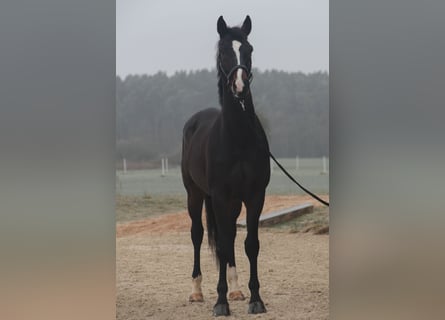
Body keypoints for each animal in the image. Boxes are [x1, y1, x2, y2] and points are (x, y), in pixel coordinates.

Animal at [181, 16, 270, 316]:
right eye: (223, 52)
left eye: (249, 49)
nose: (240, 87)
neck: (238, 138)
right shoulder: (219, 196)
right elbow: (219, 244)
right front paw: (220, 303)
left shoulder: (254, 196)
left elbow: (250, 244)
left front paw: (255, 299)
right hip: (195, 195)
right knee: (198, 235)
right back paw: (197, 291)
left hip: (231, 203)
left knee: (229, 237)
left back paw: (236, 289)